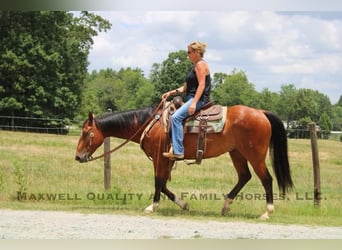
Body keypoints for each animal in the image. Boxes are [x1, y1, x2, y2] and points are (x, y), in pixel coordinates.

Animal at [75, 102, 294, 220]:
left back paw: (267, 212)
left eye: (86, 132)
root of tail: (261, 113)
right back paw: (225, 206)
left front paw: (152, 207)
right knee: (244, 177)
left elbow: (158, 182)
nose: (78, 157)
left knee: (266, 179)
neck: (150, 123)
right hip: (237, 153)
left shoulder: (159, 158)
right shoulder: (167, 159)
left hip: (254, 155)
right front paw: (183, 204)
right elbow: (164, 185)